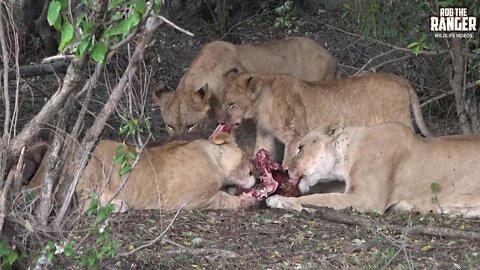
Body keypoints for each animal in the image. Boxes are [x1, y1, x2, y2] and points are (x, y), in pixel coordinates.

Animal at [27, 133, 258, 213]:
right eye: (247, 156)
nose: (255, 172)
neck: (215, 157)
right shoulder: (188, 198)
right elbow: (222, 199)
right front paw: (246, 201)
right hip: (89, 169)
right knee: (83, 205)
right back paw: (117, 205)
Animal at [221, 72, 432, 165]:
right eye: (225, 102)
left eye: (231, 104)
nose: (222, 122)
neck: (261, 104)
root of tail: (401, 79)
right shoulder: (265, 134)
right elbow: (259, 151)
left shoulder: (296, 134)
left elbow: (288, 161)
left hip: (400, 121)